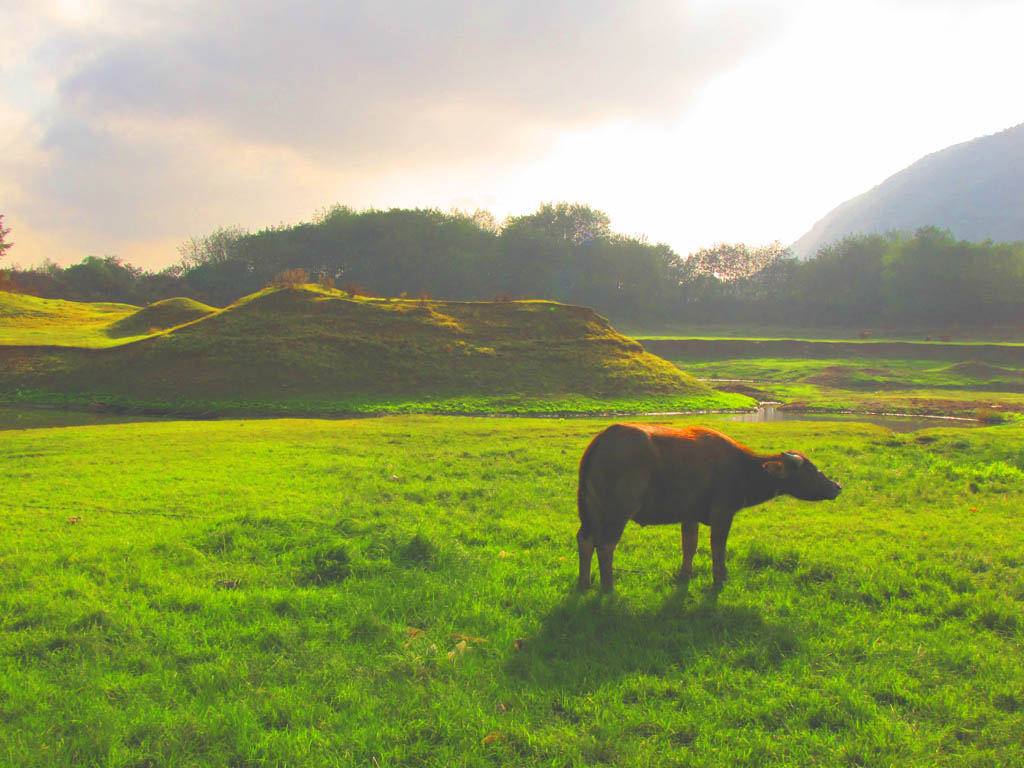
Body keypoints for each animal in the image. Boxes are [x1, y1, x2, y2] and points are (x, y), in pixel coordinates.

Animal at [577, 423, 839, 593]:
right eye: (811, 470)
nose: (837, 486)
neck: (742, 468)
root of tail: (602, 439)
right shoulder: (723, 514)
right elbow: (718, 548)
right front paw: (720, 579)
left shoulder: (689, 515)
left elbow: (689, 545)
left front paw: (685, 575)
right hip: (617, 512)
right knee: (606, 545)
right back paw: (608, 587)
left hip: (592, 511)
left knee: (586, 540)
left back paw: (585, 583)